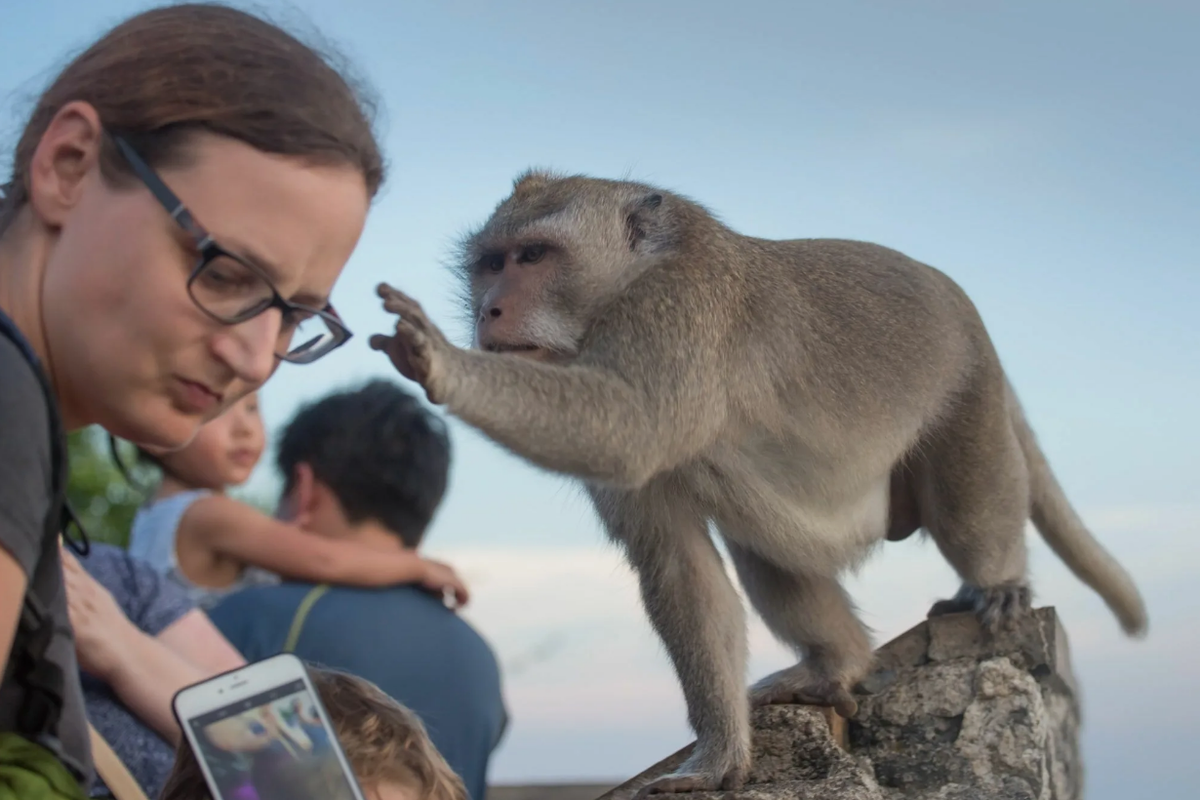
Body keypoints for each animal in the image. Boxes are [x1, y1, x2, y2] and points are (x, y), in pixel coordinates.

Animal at [367, 169, 1152, 796]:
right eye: (489, 263)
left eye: (533, 256)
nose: (489, 309)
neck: (629, 281)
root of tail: (968, 312)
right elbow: (679, 564)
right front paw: (719, 756)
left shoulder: (676, 315)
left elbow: (627, 427)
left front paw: (440, 360)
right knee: (764, 545)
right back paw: (834, 665)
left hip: (969, 393)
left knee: (966, 506)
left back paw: (996, 584)